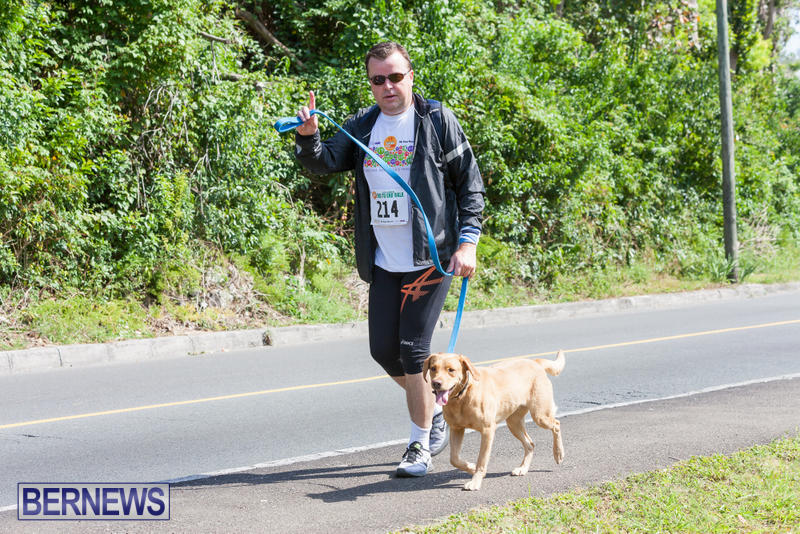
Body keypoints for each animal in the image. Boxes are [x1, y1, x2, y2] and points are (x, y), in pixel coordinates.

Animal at [422, 351, 565, 491]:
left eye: (451, 370)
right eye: (433, 368)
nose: (436, 383)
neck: (463, 396)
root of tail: (534, 362)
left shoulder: (487, 430)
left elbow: (481, 460)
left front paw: (475, 480)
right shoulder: (456, 429)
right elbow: (454, 459)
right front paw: (471, 467)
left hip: (540, 415)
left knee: (556, 424)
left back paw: (558, 453)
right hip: (513, 422)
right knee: (530, 444)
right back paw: (523, 468)